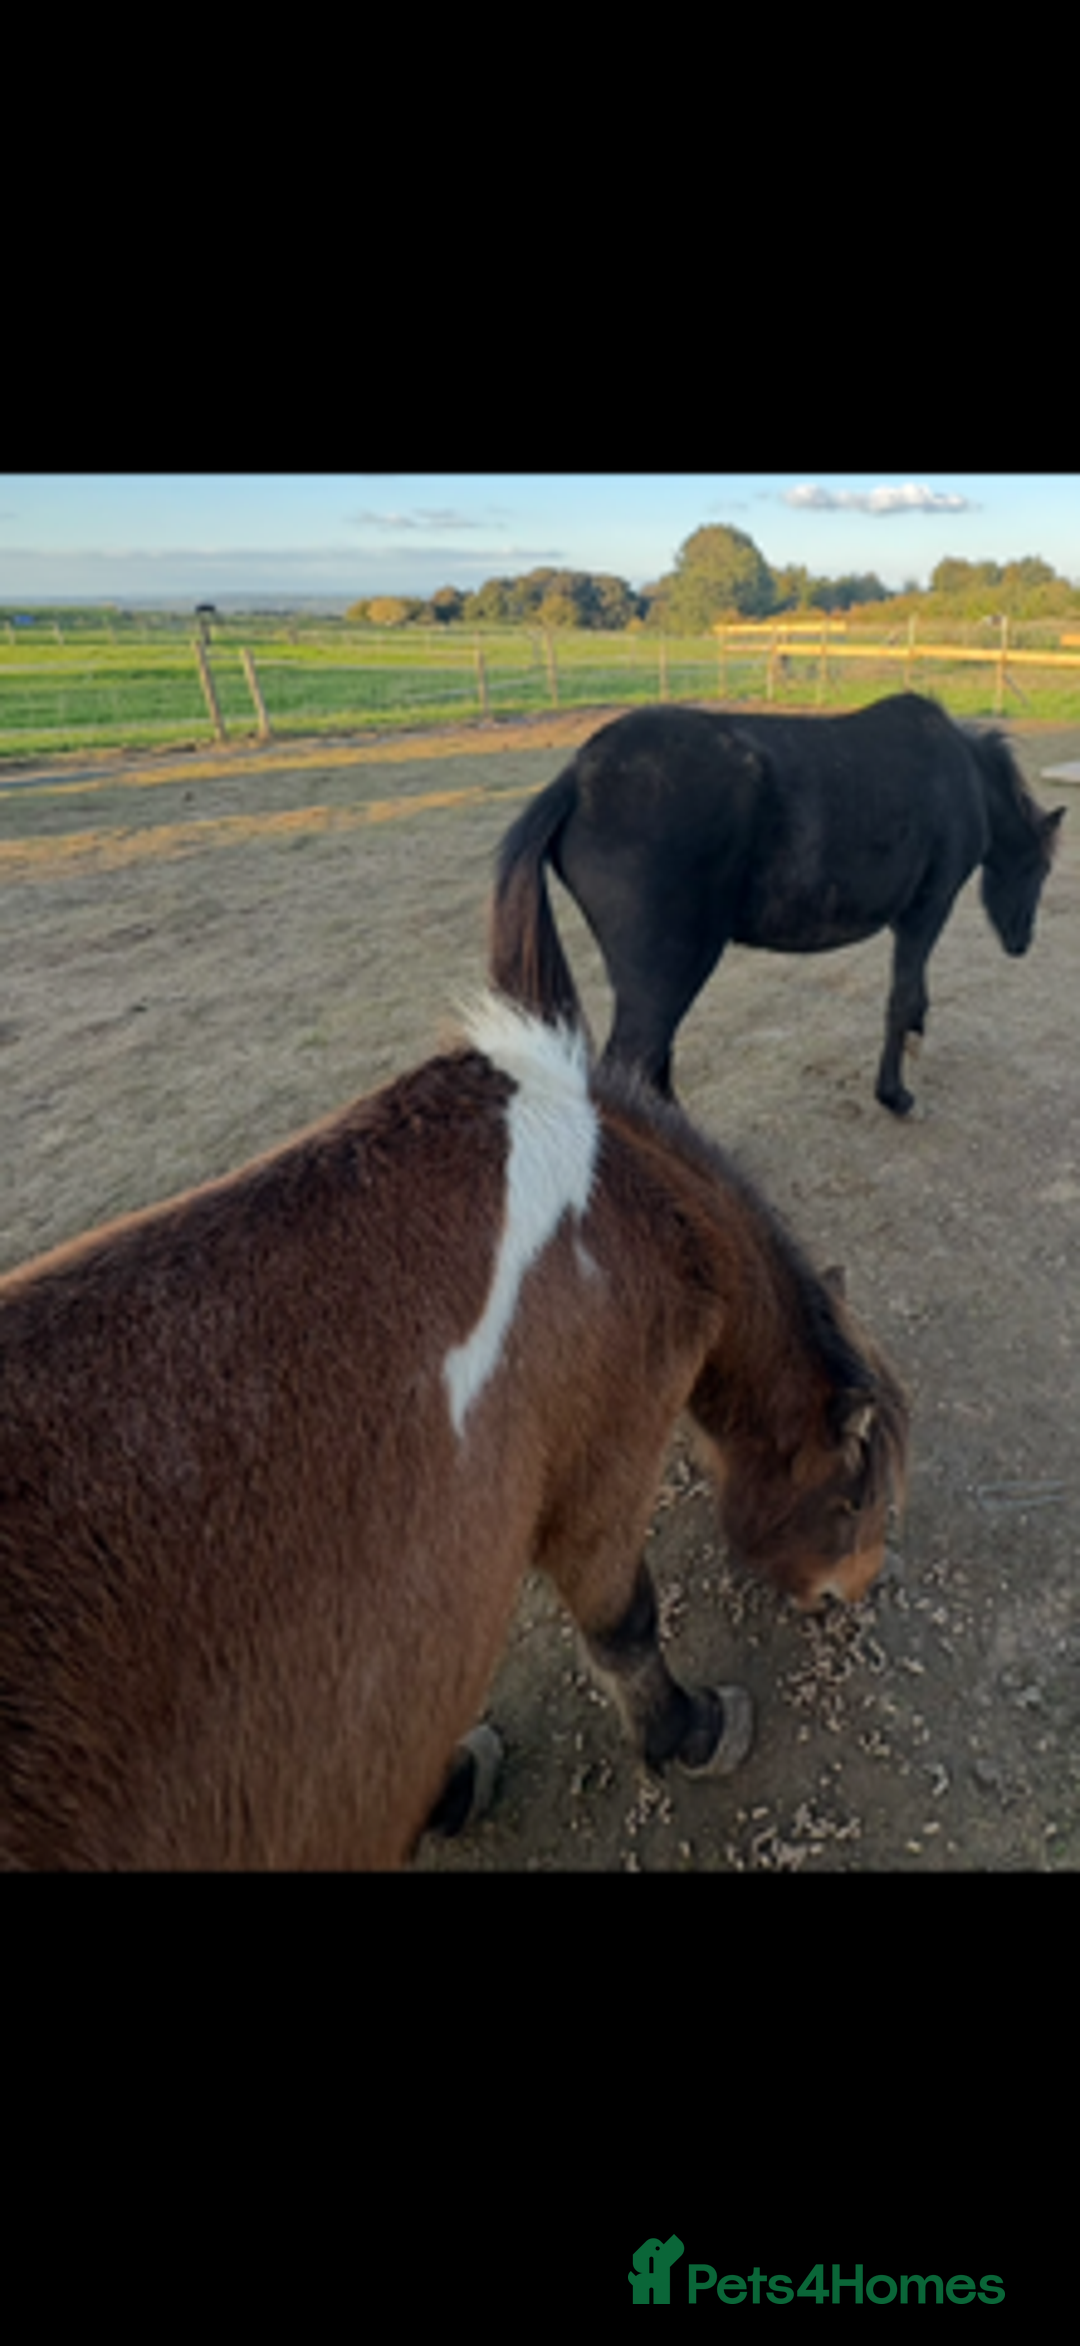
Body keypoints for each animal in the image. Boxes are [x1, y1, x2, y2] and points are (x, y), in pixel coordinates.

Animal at [0, 995, 907, 1870]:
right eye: (855, 1499)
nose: (856, 1590)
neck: (630, 1214)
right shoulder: (603, 1472)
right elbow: (626, 1627)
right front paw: (690, 1733)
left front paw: (451, 1782)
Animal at [489, 692, 1065, 1113]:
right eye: (1040, 867)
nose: (1022, 942)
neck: (962, 774)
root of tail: (577, 781)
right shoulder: (926, 911)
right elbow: (901, 997)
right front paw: (894, 1093)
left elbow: (913, 992)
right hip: (666, 977)